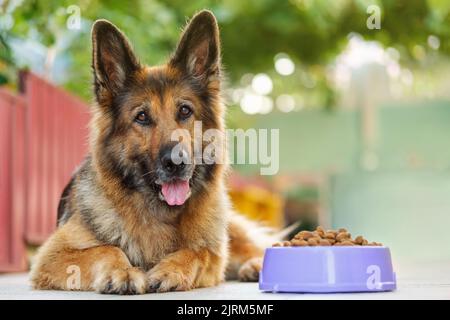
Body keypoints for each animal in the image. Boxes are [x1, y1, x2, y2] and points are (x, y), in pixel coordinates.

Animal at [30, 10, 274, 296]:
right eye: (142, 117)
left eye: (185, 111)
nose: (176, 163)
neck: (160, 213)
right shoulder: (52, 255)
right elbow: (106, 248)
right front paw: (122, 272)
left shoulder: (213, 253)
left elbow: (197, 251)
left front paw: (170, 270)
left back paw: (256, 265)